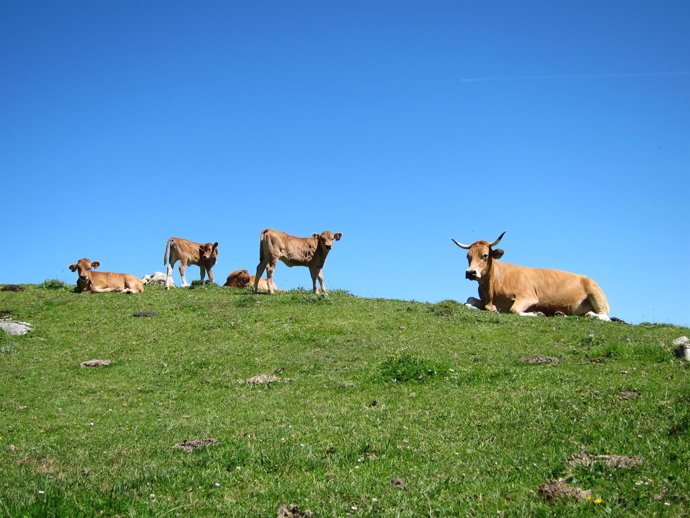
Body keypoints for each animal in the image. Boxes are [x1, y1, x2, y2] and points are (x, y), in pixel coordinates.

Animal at [452, 232, 608, 320]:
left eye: (484, 255)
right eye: (468, 256)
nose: (470, 272)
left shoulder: (528, 296)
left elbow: (514, 310)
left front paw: (537, 313)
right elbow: (469, 300)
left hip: (596, 295)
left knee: (604, 316)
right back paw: (560, 313)